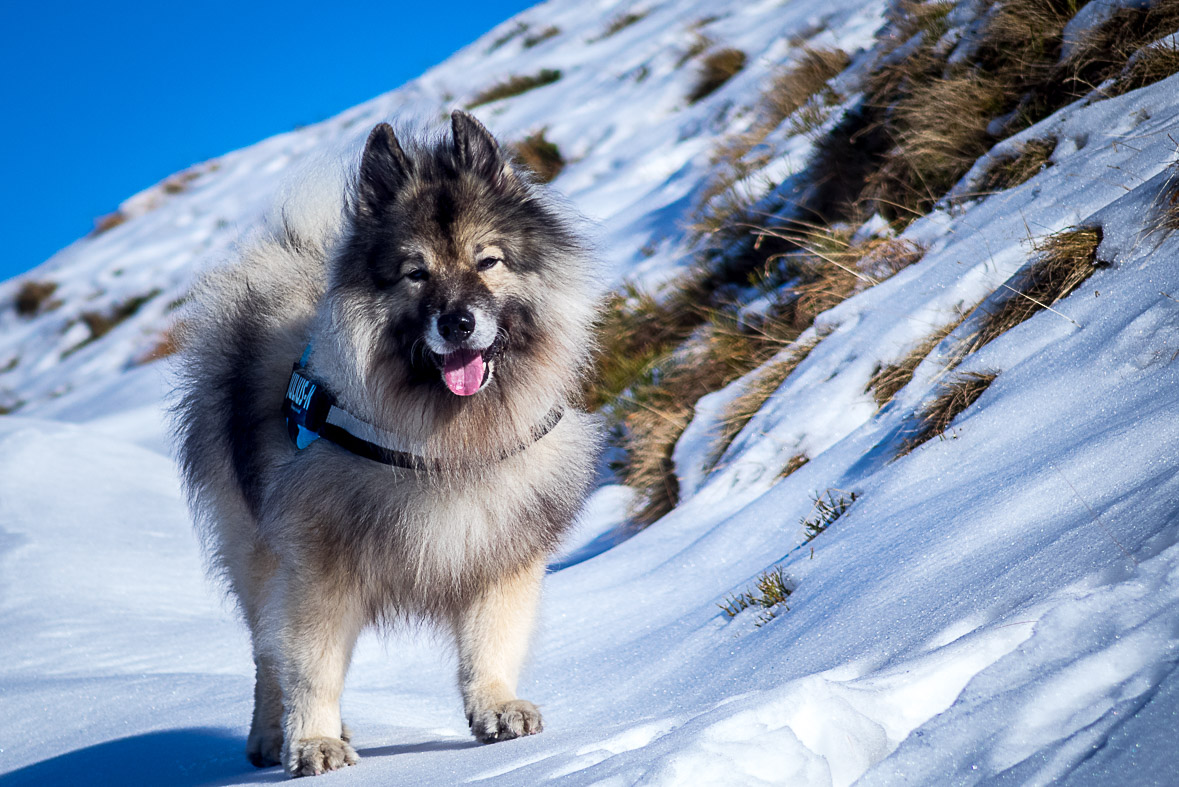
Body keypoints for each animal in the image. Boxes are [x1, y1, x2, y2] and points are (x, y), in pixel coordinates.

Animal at [172, 110, 608, 772]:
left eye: (488, 261)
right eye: (415, 273)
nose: (457, 322)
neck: (443, 444)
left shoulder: (501, 550)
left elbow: (491, 641)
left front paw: (495, 707)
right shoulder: (316, 564)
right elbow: (311, 664)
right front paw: (314, 741)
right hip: (257, 551)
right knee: (266, 655)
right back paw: (272, 735)